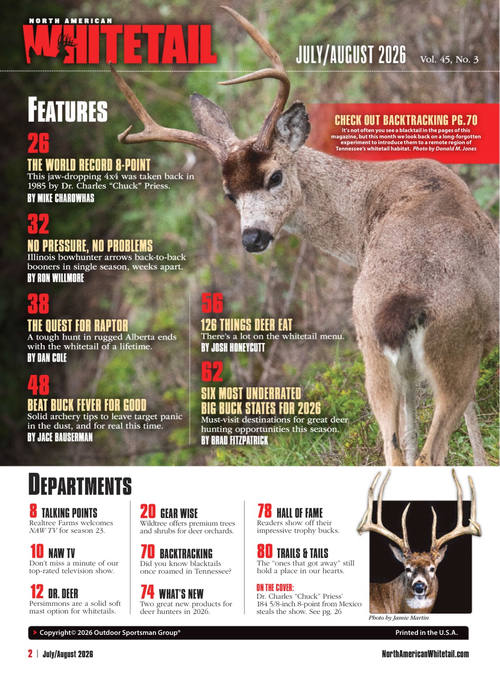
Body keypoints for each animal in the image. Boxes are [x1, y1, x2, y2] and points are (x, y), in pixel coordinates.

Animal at [109, 6, 499, 465]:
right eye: (229, 194)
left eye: (274, 176)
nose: (252, 238)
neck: (362, 214)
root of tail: (400, 306)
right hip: (453, 345)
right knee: (427, 450)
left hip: (374, 357)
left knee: (396, 449)